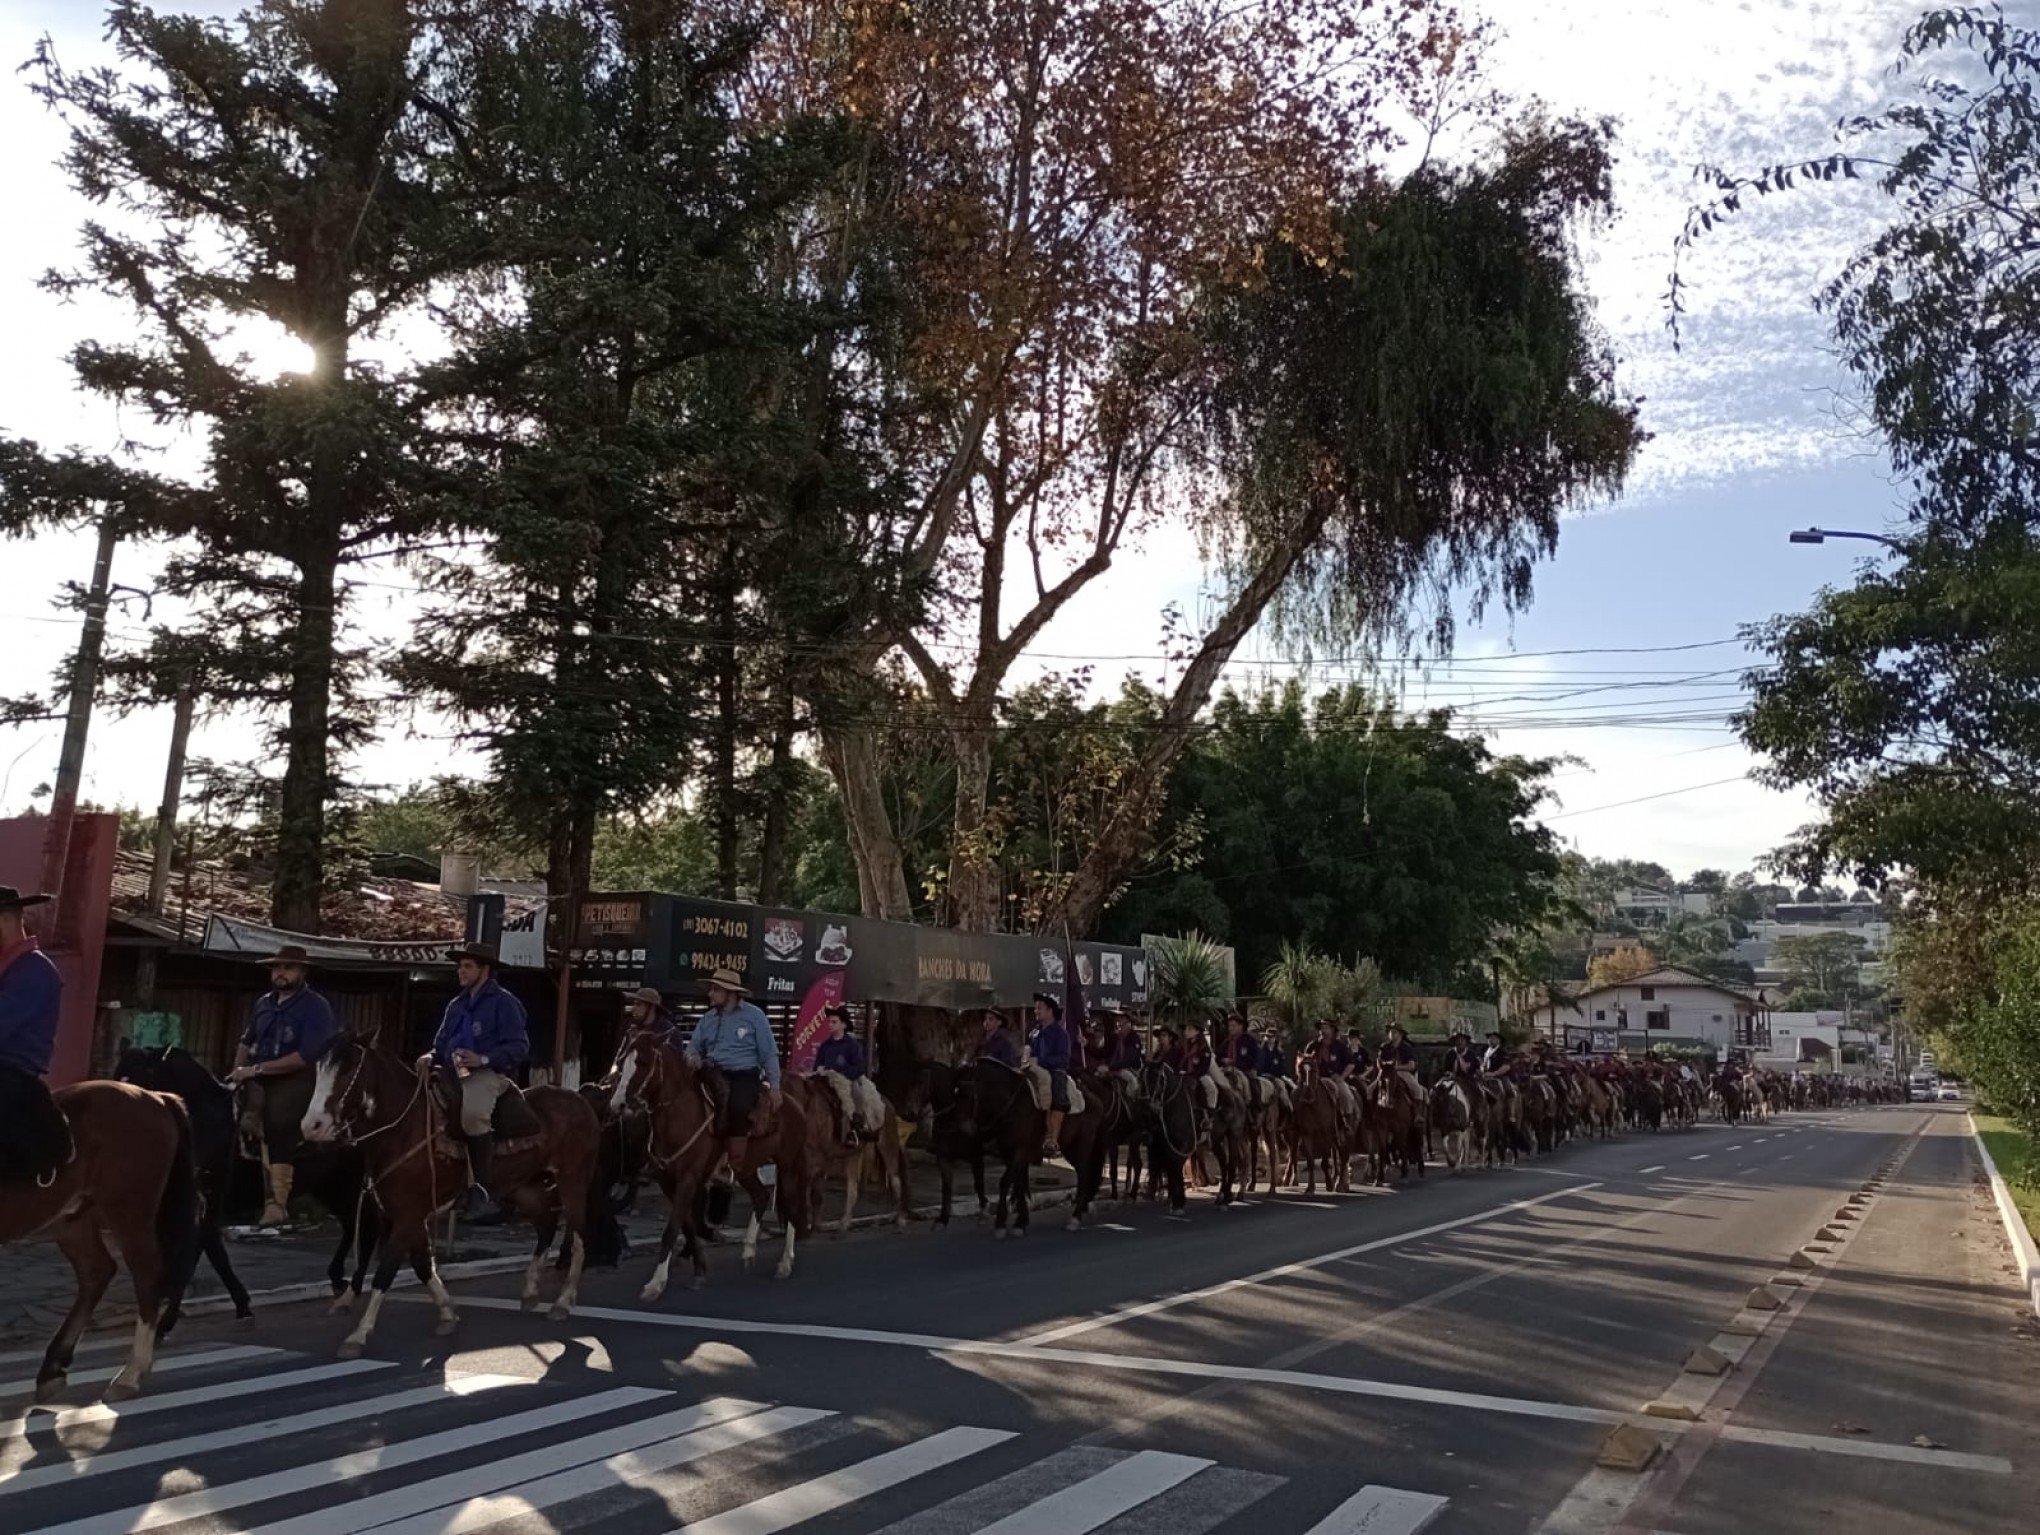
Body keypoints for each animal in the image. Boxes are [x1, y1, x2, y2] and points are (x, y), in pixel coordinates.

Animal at [0, 1077, 200, 1404]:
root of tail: (156, 1097)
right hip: (72, 1220)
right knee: (96, 1271)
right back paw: (52, 1369)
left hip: (128, 1212)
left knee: (146, 1276)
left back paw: (130, 1374)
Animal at [113, 1045, 381, 1306]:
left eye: (143, 1076)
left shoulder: (211, 1195)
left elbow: (205, 1244)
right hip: (332, 1186)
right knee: (352, 1225)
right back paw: (338, 1277)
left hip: (350, 1183)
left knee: (366, 1225)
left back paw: (355, 1282)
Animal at [297, 1032, 595, 1355]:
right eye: (319, 1069)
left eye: (348, 1070)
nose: (311, 1126)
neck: (403, 1129)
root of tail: (580, 1101)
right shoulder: (405, 1215)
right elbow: (422, 1265)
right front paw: (448, 1313)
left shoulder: (408, 1216)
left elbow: (387, 1271)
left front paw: (358, 1335)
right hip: (525, 1189)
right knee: (547, 1226)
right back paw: (530, 1292)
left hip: (572, 1181)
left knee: (579, 1236)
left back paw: (562, 1302)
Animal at [603, 1032, 811, 1298]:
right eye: (622, 1061)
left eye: (643, 1063)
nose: (617, 1104)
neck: (680, 1115)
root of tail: (793, 1103)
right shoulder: (669, 1182)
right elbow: (689, 1226)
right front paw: (700, 1268)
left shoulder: (689, 1178)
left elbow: (672, 1229)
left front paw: (656, 1283)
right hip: (745, 1168)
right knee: (761, 1196)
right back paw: (748, 1251)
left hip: (788, 1165)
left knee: (791, 1206)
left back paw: (784, 1263)